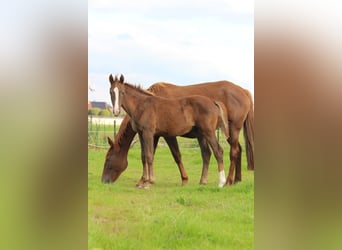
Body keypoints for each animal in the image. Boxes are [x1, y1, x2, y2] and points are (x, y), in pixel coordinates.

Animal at [101, 74, 254, 186]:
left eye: (108, 159)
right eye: (110, 92)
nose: (104, 180)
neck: (144, 103)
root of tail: (245, 92)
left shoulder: (160, 134)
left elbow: (169, 155)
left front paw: (152, 181)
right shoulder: (147, 134)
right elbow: (145, 156)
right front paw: (142, 181)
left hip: (227, 130)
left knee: (227, 152)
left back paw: (225, 182)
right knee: (228, 151)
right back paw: (232, 180)